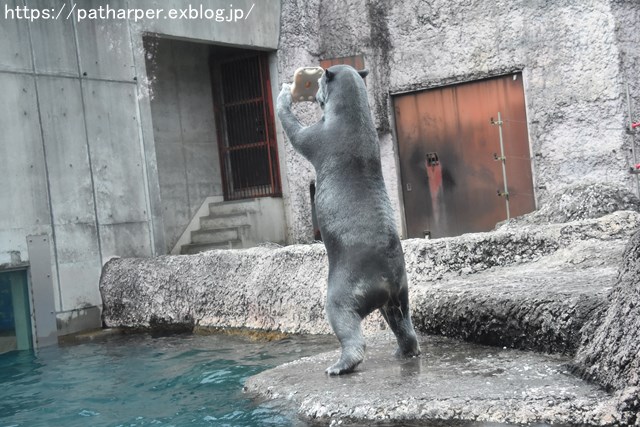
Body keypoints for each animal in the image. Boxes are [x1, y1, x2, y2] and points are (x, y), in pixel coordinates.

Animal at [278, 65, 422, 376]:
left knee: (345, 320)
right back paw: (405, 351)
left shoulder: (320, 136)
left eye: (320, 82)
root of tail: (387, 276)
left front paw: (284, 94)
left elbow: (296, 132)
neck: (353, 115)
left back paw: (341, 365)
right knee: (402, 322)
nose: (315, 90)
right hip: (400, 294)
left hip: (346, 287)